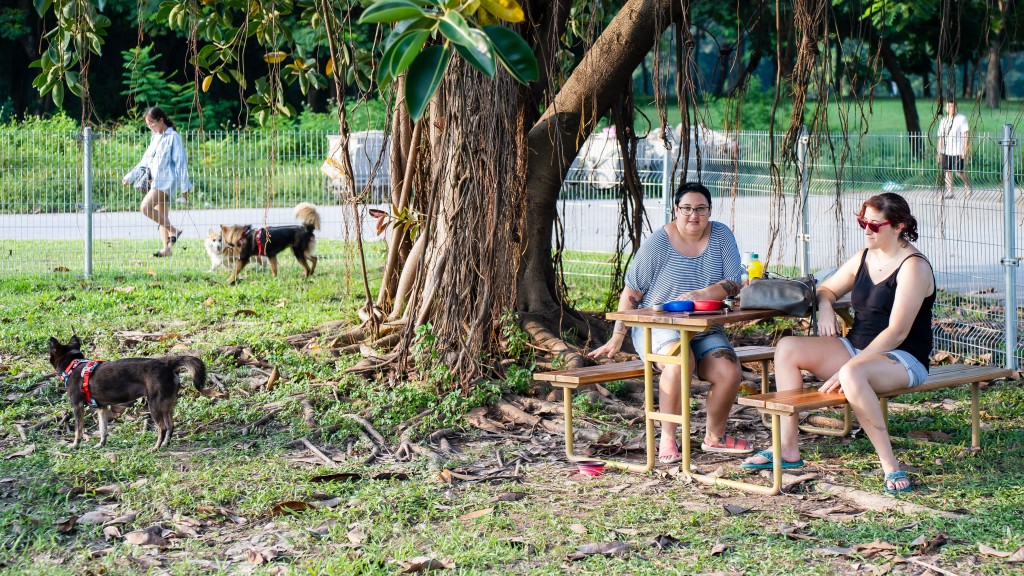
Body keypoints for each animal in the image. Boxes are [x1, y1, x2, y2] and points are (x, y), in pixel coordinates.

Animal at [47, 334, 205, 450]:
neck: (73, 364)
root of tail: (167, 364)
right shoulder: (102, 408)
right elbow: (103, 429)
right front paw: (101, 444)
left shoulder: (78, 406)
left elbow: (78, 430)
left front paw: (74, 445)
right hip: (167, 405)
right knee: (171, 426)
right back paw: (165, 444)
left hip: (154, 405)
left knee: (163, 428)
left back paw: (155, 447)